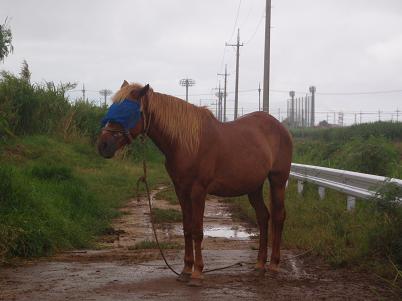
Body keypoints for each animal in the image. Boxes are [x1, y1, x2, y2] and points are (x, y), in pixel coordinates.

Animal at [97, 81, 292, 284]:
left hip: (278, 181)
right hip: (254, 187)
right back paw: (260, 264)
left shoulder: (198, 190)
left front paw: (198, 272)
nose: (103, 145)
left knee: (278, 216)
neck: (186, 143)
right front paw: (185, 270)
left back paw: (274, 265)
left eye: (126, 111)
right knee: (263, 217)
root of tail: (280, 127)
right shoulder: (181, 190)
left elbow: (198, 230)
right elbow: (187, 229)